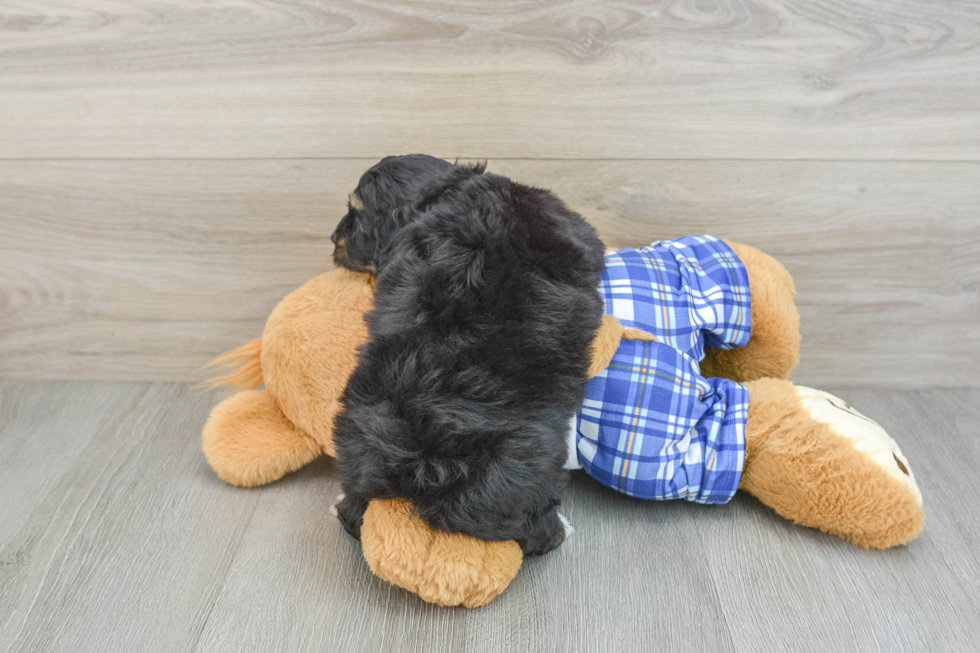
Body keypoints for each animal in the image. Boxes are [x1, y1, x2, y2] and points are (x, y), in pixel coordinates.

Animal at [334, 154, 600, 556]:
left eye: (356, 214)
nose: (333, 238)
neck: (443, 190)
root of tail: (432, 459)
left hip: (356, 449)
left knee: (355, 510)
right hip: (532, 474)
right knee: (535, 534)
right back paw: (561, 529)